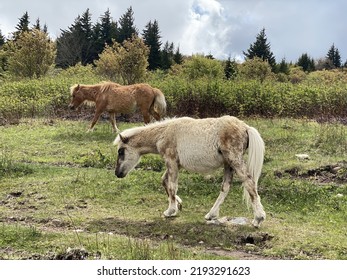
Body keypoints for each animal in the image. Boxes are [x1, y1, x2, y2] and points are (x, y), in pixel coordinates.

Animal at [114, 116, 266, 228]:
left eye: (121, 151)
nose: (117, 173)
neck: (164, 133)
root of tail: (245, 127)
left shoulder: (171, 161)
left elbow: (172, 185)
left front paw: (170, 210)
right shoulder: (176, 164)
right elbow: (164, 181)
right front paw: (178, 204)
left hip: (234, 161)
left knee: (249, 182)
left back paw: (258, 219)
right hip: (228, 165)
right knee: (225, 188)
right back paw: (211, 214)